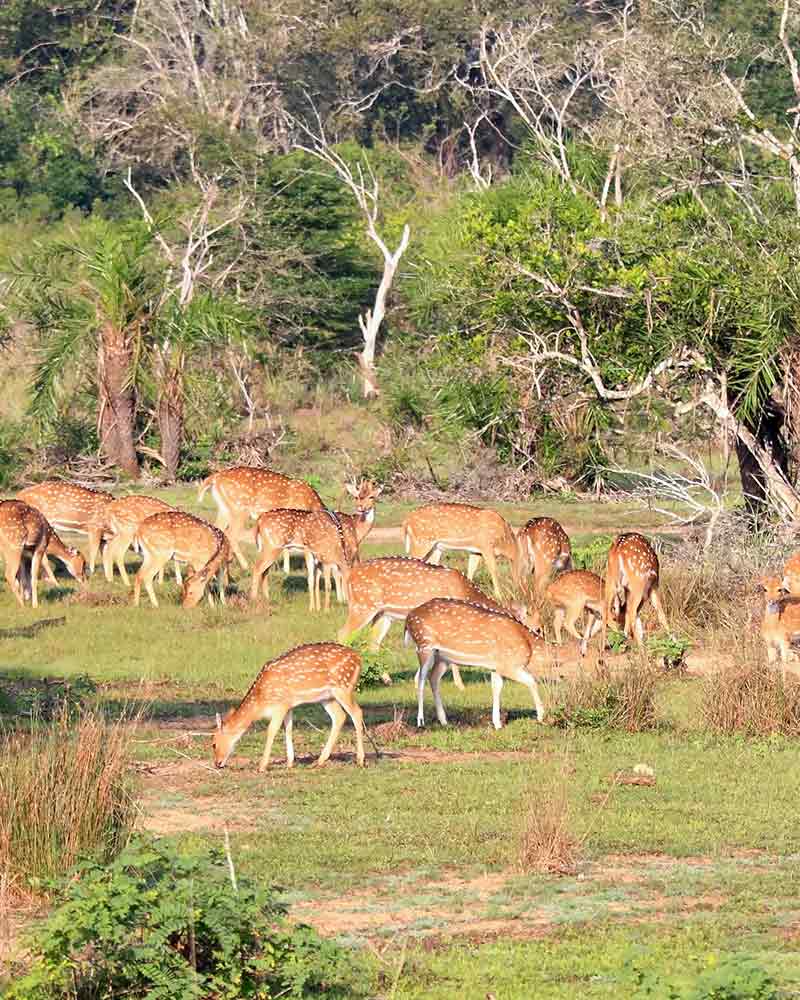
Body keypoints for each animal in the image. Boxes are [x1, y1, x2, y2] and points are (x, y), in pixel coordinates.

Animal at [211, 640, 364, 772]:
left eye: (213, 743)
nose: (217, 763)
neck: (261, 703)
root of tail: (358, 658)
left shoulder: (280, 705)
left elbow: (271, 730)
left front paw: (262, 766)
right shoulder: (289, 705)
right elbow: (288, 728)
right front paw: (290, 763)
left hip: (343, 687)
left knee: (357, 713)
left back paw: (360, 760)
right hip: (327, 697)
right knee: (339, 716)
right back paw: (319, 761)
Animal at [406, 596, 556, 732]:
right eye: (538, 629)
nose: (543, 637)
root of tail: (408, 618)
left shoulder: (495, 665)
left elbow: (497, 687)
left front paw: (497, 723)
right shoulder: (504, 664)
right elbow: (529, 681)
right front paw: (540, 716)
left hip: (442, 657)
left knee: (433, 678)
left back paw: (444, 721)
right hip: (424, 645)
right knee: (421, 679)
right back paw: (421, 722)